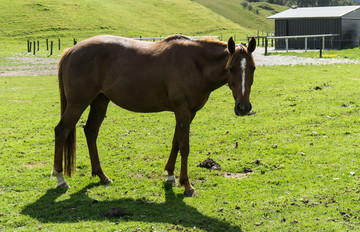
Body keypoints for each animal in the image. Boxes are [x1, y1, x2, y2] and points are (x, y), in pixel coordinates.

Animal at [52, 34, 256, 196]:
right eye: (231, 68)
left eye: (252, 68)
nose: (243, 107)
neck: (195, 63)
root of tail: (71, 50)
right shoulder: (182, 111)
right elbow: (184, 146)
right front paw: (187, 185)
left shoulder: (188, 113)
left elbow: (175, 142)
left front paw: (171, 175)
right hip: (78, 103)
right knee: (61, 131)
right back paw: (60, 178)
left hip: (100, 101)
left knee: (91, 131)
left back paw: (102, 176)